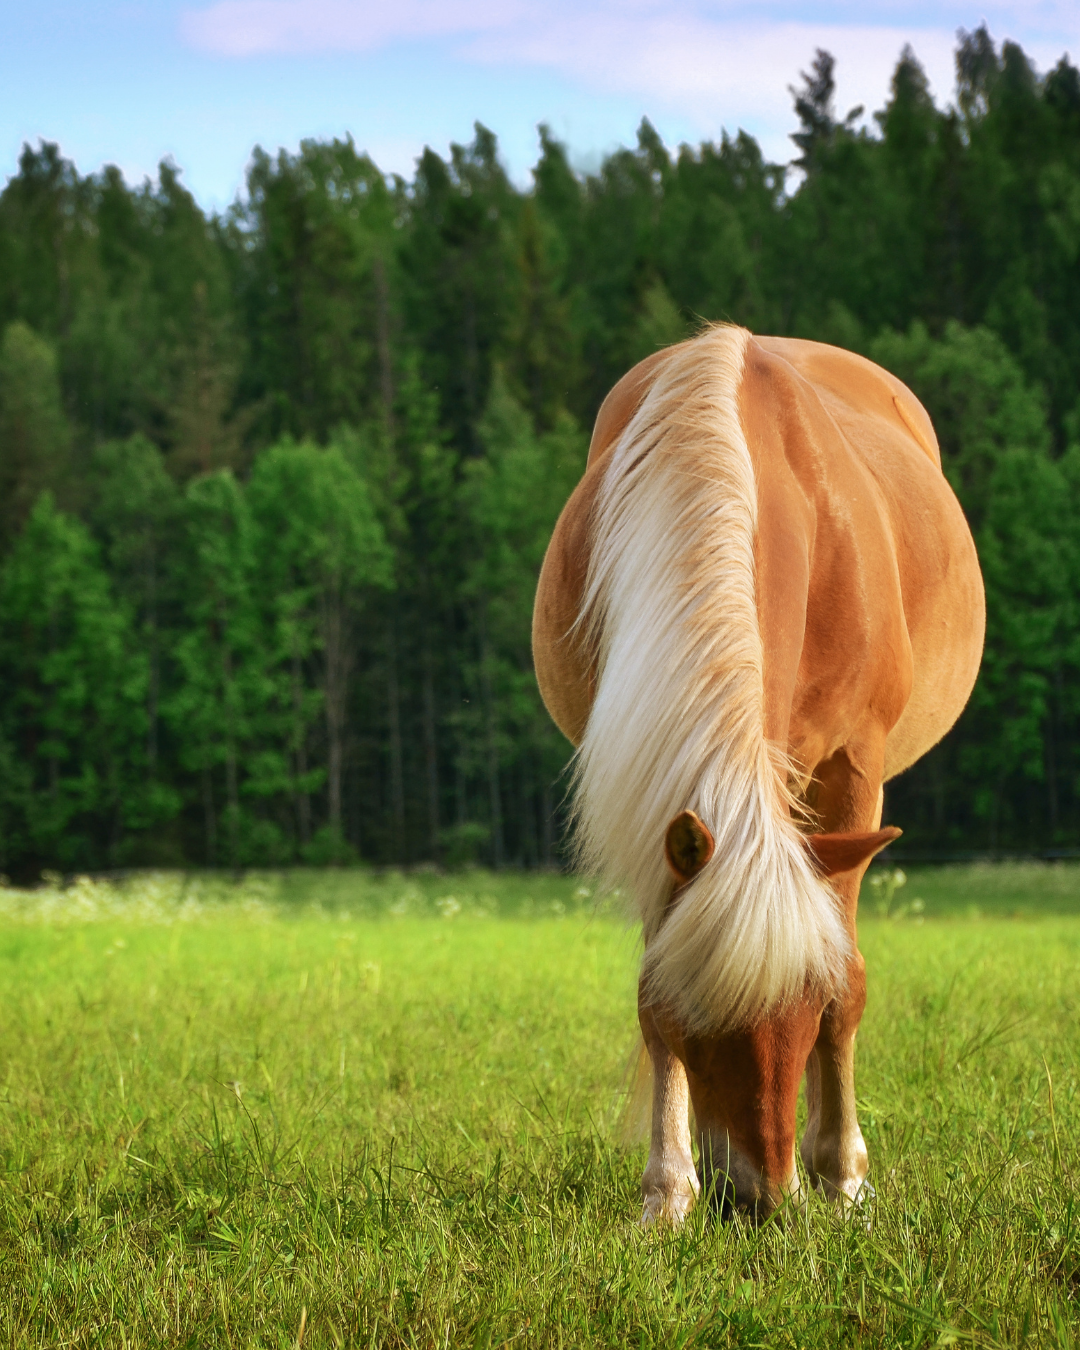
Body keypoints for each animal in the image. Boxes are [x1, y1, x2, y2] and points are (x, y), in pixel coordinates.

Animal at [532, 326, 984, 1222]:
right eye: (701, 1026)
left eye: (805, 1013)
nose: (763, 1202)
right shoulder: (653, 800)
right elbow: (652, 988)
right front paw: (669, 1189)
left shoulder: (853, 773)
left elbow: (850, 977)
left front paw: (841, 1175)